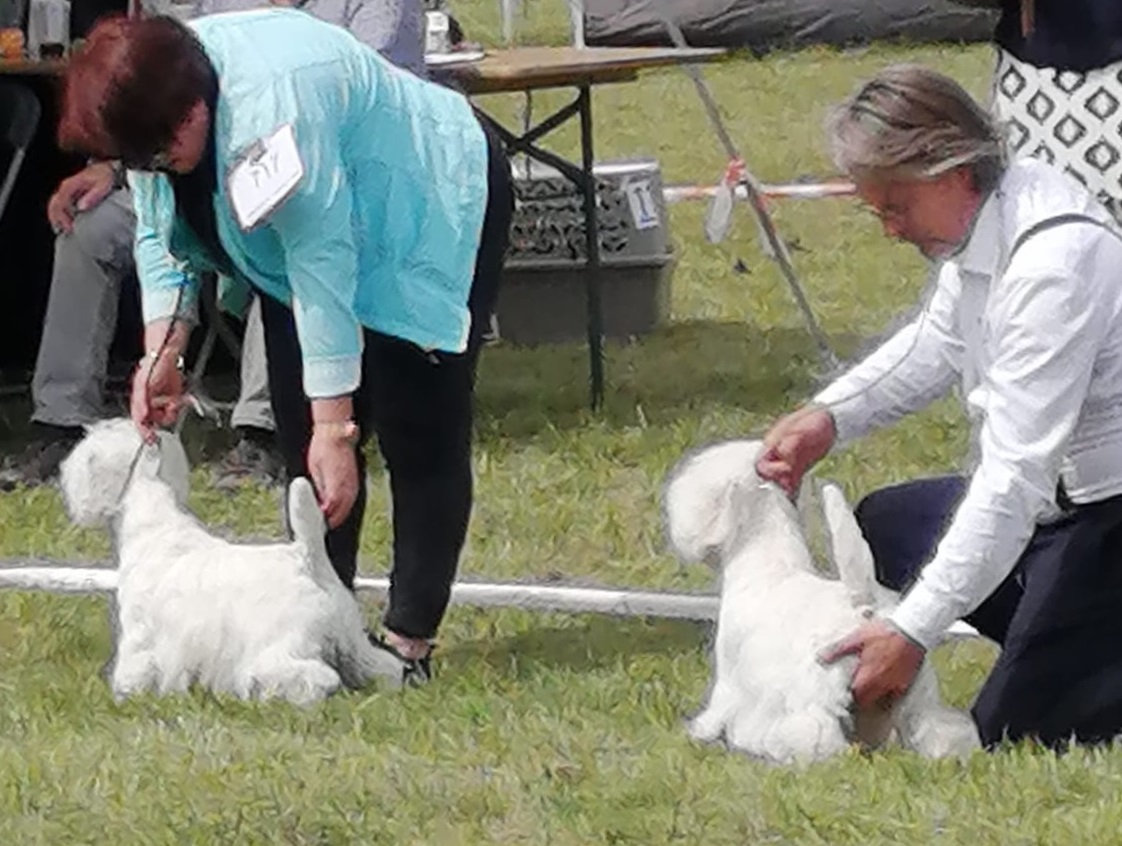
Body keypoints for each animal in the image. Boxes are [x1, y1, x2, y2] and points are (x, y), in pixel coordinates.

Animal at [58, 419, 403, 700]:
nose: (62, 476)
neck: (152, 525)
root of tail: (309, 559)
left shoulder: (140, 639)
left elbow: (135, 672)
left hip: (282, 644)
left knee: (315, 677)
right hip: (353, 641)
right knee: (385, 667)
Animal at [659, 437, 978, 762]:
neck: (768, 565)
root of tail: (865, 611)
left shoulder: (729, 679)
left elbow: (716, 713)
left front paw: (700, 734)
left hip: (823, 693)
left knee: (818, 736)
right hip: (916, 696)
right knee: (942, 731)